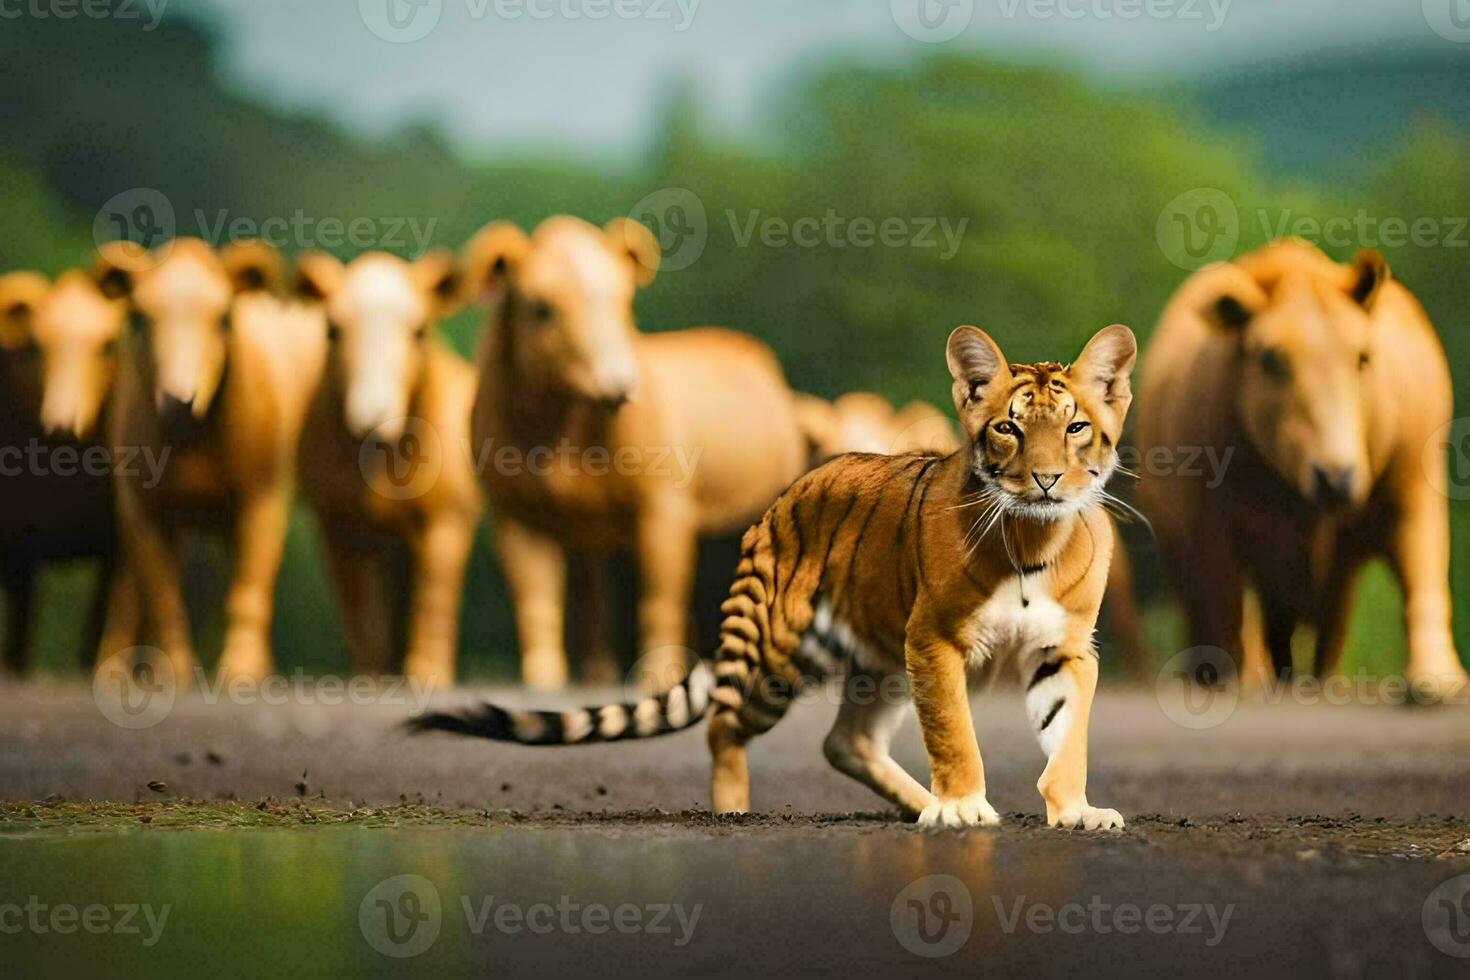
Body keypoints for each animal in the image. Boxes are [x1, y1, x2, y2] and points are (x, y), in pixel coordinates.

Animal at [97, 238, 327, 687]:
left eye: (223, 317)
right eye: (140, 317)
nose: (180, 401)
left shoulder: (262, 496)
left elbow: (249, 588)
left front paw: (241, 670)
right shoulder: (141, 505)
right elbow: (162, 593)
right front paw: (171, 671)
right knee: (129, 586)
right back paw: (114, 668)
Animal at [292, 249, 482, 687]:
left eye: (419, 330)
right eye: (332, 330)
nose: (374, 414)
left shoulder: (448, 519)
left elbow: (434, 597)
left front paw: (427, 674)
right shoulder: (338, 525)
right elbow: (361, 611)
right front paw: (371, 675)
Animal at [414, 326, 1134, 834]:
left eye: (1075, 427)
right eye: (1009, 428)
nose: (1046, 479)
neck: (1034, 534)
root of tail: (781, 500)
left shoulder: (1067, 649)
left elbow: (1069, 736)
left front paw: (1075, 811)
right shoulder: (935, 641)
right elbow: (953, 732)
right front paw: (962, 807)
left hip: (879, 657)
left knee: (844, 741)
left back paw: (914, 804)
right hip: (777, 656)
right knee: (723, 725)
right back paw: (734, 810)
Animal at [461, 215, 811, 690]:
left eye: (623, 299)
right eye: (542, 308)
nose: (619, 382)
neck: (562, 432)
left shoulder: (665, 508)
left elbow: (657, 596)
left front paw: (656, 675)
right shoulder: (514, 514)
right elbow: (536, 599)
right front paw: (543, 678)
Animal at [1134, 238, 1458, 696]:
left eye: (1363, 358)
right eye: (1271, 359)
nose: (1336, 477)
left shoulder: (1411, 489)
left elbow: (1423, 579)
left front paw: (1436, 677)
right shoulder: (1207, 523)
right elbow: (1225, 609)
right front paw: (1240, 678)